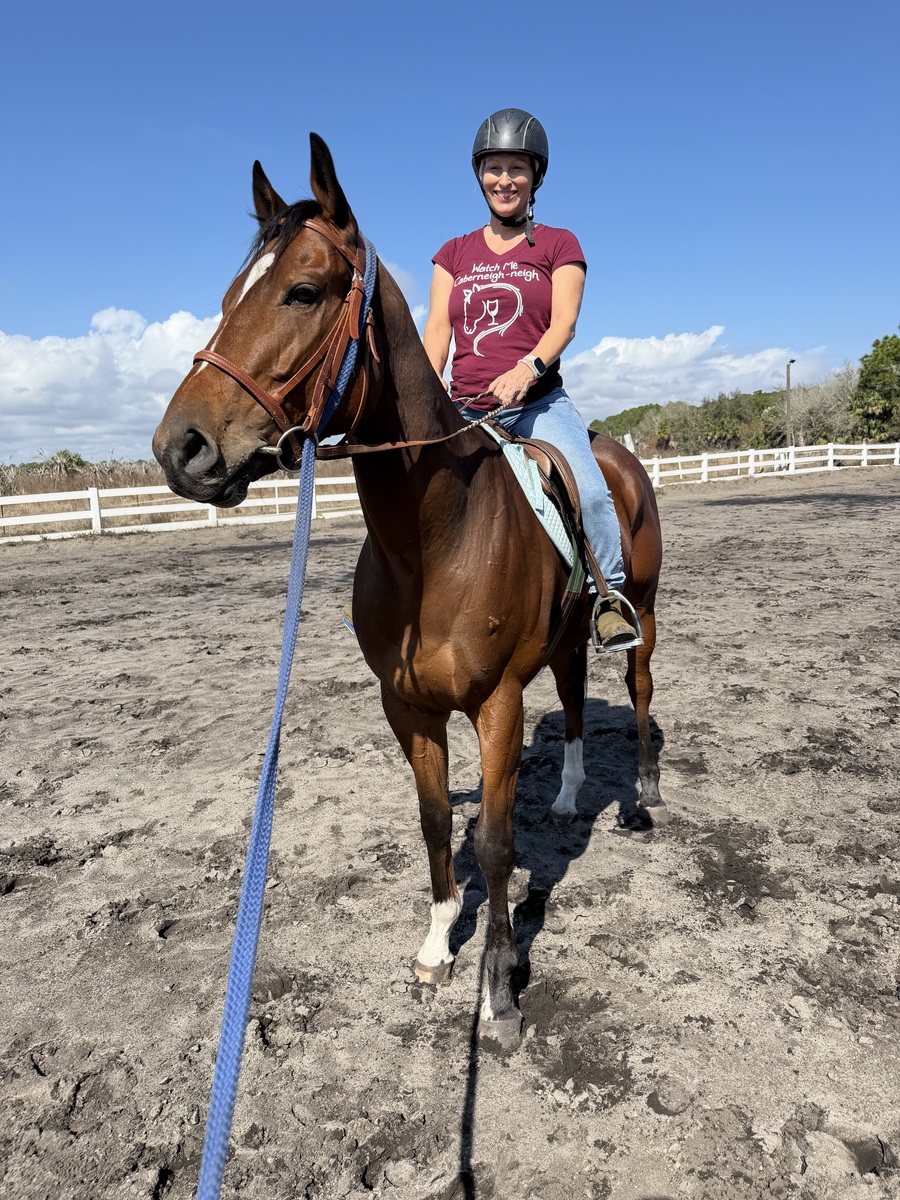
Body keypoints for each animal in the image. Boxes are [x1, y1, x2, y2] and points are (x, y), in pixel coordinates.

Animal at [153, 134, 664, 1049]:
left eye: (304, 291)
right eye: (225, 298)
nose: (182, 448)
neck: (436, 540)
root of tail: (621, 454)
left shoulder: (496, 703)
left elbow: (494, 844)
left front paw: (500, 992)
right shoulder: (407, 705)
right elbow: (434, 824)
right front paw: (436, 949)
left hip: (646, 608)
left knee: (637, 690)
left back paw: (640, 799)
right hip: (566, 637)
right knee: (575, 695)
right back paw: (571, 796)